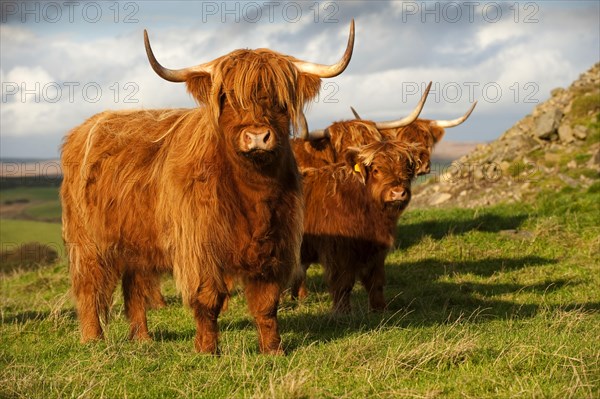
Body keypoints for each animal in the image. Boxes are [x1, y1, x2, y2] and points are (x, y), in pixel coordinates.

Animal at [59, 22, 356, 356]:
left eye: (278, 97)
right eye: (226, 96)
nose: (257, 137)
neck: (252, 193)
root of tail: (83, 128)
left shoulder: (275, 244)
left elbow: (267, 304)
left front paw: (273, 350)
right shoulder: (199, 247)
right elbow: (208, 298)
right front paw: (206, 349)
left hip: (137, 242)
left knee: (135, 286)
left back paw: (143, 338)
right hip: (87, 241)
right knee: (89, 286)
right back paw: (92, 339)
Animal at [296, 141, 426, 312]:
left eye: (408, 169)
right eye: (376, 170)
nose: (398, 192)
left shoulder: (377, 250)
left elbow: (376, 281)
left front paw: (380, 309)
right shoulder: (340, 251)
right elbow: (343, 284)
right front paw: (343, 312)